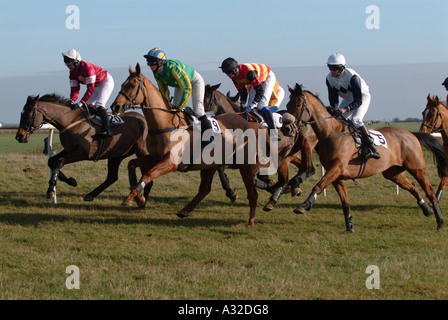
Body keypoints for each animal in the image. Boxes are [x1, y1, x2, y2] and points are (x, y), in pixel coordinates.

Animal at [15, 93, 150, 202]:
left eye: (28, 114)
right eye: (21, 113)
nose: (19, 136)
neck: (70, 121)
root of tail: (143, 118)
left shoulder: (83, 152)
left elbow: (59, 162)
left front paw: (51, 189)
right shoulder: (68, 149)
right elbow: (51, 161)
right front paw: (69, 181)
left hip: (140, 150)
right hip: (116, 155)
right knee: (112, 177)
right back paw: (91, 194)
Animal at [110, 62, 288, 226]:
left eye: (132, 85)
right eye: (122, 84)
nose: (115, 106)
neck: (164, 123)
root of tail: (251, 124)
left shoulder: (170, 162)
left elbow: (148, 174)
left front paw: (132, 197)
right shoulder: (154, 157)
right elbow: (132, 164)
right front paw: (138, 196)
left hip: (245, 165)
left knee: (252, 192)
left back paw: (252, 219)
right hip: (210, 164)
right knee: (205, 189)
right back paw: (184, 210)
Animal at [288, 84, 444, 231]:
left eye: (298, 104)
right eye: (288, 105)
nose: (288, 128)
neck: (331, 133)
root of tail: (411, 134)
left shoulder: (337, 168)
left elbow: (319, 186)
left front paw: (304, 205)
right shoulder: (338, 177)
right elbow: (345, 203)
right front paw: (350, 227)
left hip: (417, 168)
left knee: (430, 191)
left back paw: (440, 220)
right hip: (393, 173)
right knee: (413, 187)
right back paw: (427, 209)